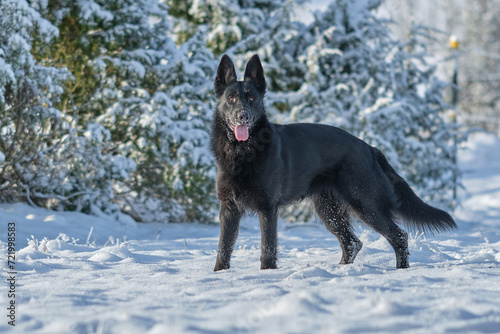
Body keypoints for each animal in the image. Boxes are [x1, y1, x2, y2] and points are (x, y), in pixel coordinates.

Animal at [211, 53, 458, 270]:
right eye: (231, 99)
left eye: (252, 98)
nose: (243, 116)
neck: (242, 152)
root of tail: (368, 148)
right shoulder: (229, 209)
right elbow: (223, 248)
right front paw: (219, 274)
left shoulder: (268, 208)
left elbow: (268, 249)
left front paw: (267, 274)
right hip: (329, 210)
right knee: (352, 243)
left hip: (366, 204)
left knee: (398, 236)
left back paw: (401, 270)